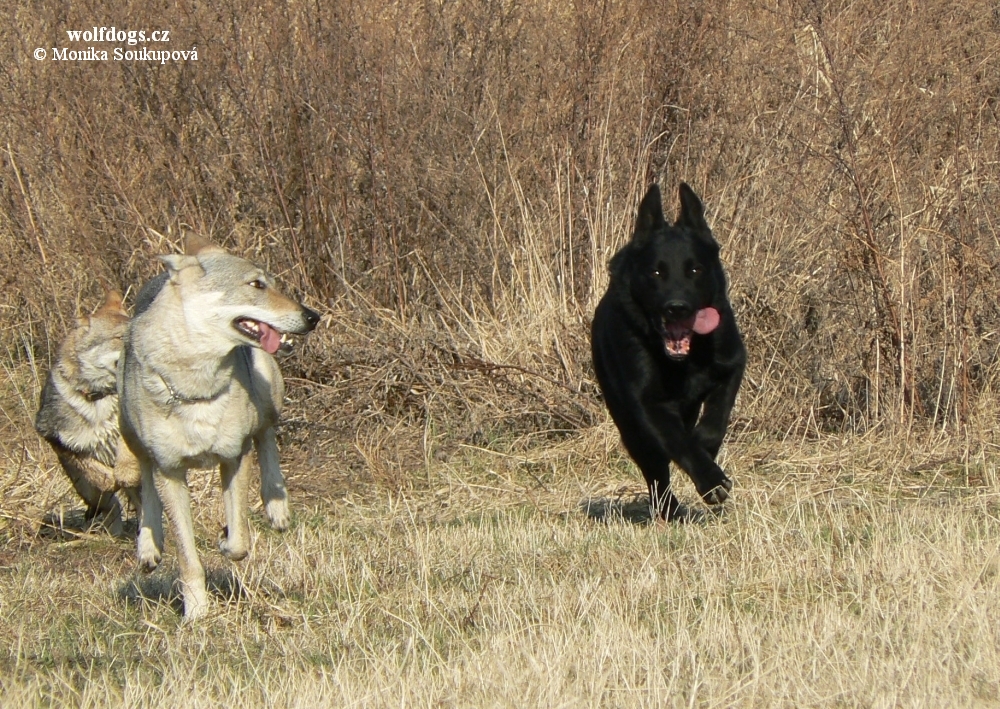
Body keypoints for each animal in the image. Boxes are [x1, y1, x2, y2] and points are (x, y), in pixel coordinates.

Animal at [35, 290, 140, 532]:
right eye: (120, 338)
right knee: (109, 506)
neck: (99, 398)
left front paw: (124, 472)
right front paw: (110, 478)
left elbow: (124, 465)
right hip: (85, 490)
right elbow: (98, 474)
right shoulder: (60, 441)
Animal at [120, 235, 320, 616]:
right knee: (144, 475)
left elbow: (239, 538)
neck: (197, 388)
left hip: (266, 397)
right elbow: (187, 558)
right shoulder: (170, 471)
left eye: (272, 282)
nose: (313, 316)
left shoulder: (234, 457)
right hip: (130, 434)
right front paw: (196, 612)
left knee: (266, 437)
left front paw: (225, 540)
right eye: (256, 285)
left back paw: (277, 508)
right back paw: (148, 547)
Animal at [592, 183, 744, 520]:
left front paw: (706, 447)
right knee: (655, 468)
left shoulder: (731, 367)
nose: (677, 307)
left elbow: (715, 421)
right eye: (657, 273)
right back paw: (667, 509)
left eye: (695, 269)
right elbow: (680, 444)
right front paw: (711, 481)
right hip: (629, 423)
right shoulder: (648, 403)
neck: (684, 362)